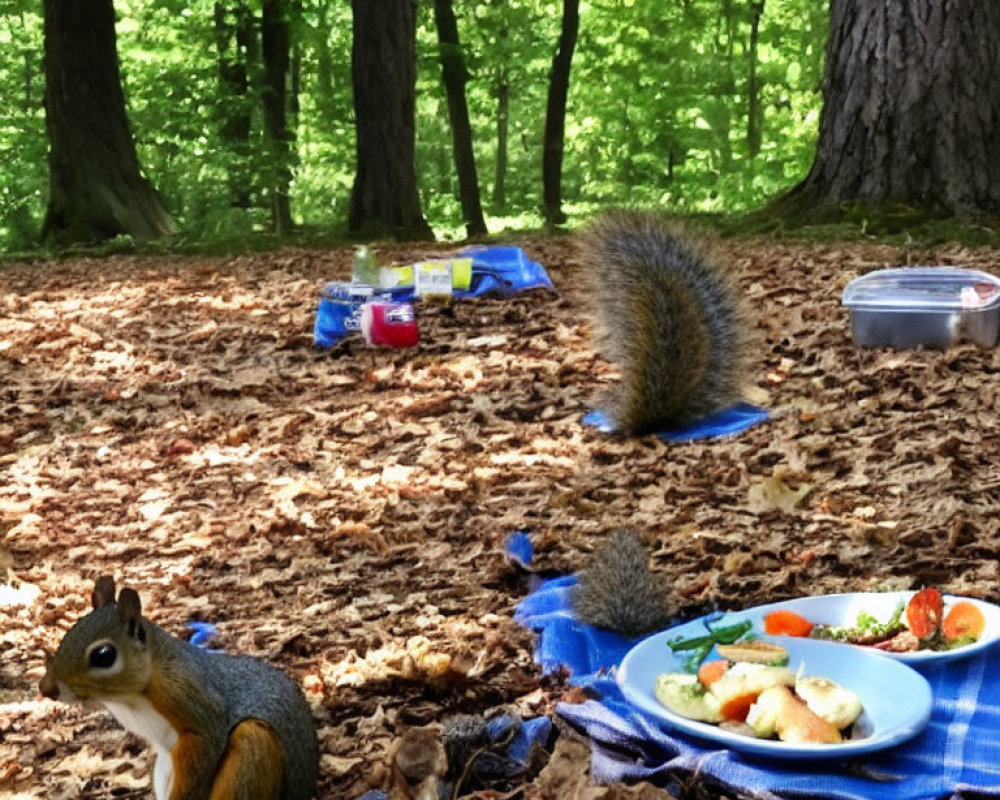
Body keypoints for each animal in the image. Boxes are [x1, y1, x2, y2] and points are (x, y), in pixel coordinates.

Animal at [39, 576, 316, 800]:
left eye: (104, 655)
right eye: (68, 632)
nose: (46, 688)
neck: (128, 698)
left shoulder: (186, 695)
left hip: (254, 747)